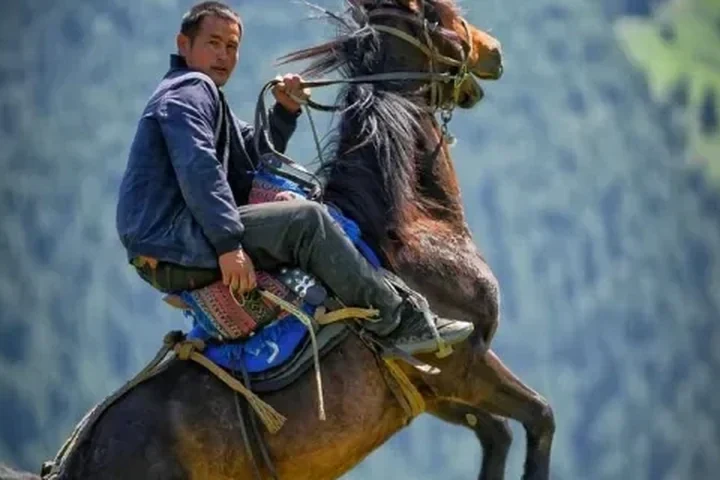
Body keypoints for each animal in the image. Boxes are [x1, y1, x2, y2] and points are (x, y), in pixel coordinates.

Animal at [1, 1, 554, 479]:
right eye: (438, 14)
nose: (493, 50)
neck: (405, 228)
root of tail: (81, 457)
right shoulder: (463, 365)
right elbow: (539, 418)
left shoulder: (438, 394)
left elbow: (499, 435)